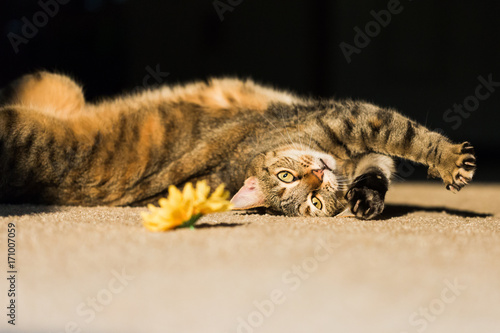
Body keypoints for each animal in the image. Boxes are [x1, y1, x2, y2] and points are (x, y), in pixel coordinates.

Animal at [0, 70, 476, 218]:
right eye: (290, 183)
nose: (317, 174)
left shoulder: (364, 143)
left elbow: (382, 166)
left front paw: (367, 200)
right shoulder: (356, 119)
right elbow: (407, 135)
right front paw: (451, 159)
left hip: (60, 86)